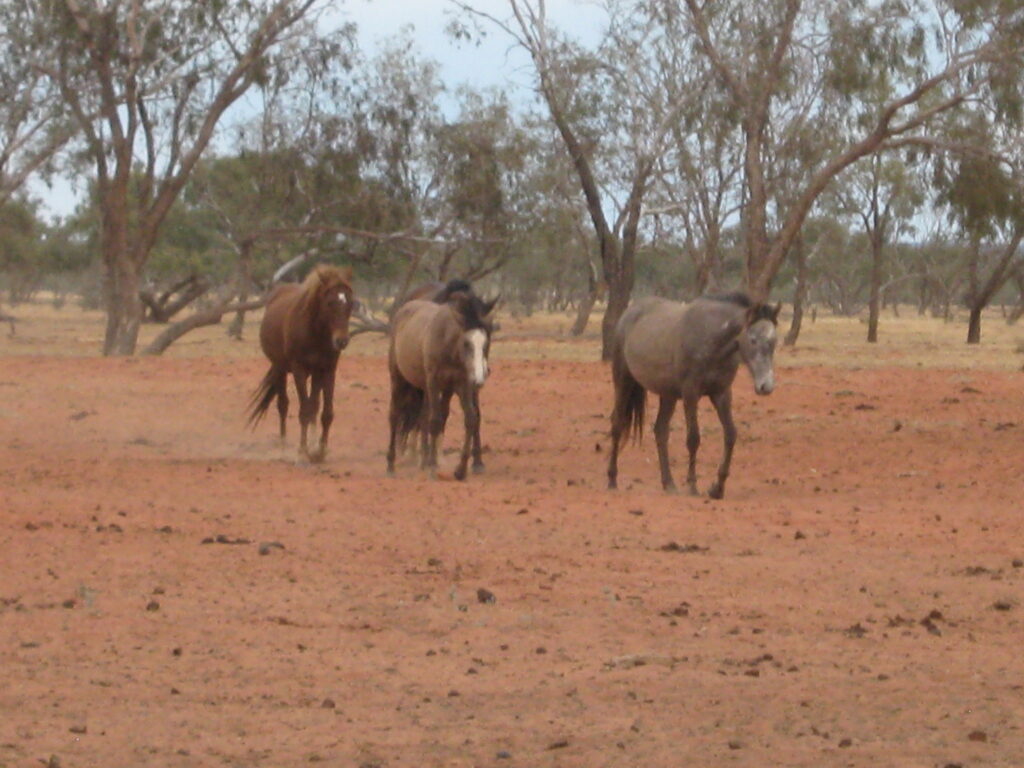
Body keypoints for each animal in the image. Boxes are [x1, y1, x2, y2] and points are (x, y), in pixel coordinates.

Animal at [248, 264, 355, 463]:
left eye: (351, 303)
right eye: (330, 302)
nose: (341, 341)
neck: (315, 333)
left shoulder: (328, 369)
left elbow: (325, 412)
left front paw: (320, 450)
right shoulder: (299, 370)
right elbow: (304, 410)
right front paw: (303, 449)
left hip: (315, 374)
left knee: (314, 405)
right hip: (280, 369)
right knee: (283, 405)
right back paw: (283, 446)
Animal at [386, 284, 498, 480]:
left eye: (485, 342)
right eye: (466, 343)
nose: (480, 376)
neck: (448, 346)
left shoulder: (462, 385)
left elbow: (471, 418)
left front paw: (461, 469)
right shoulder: (434, 383)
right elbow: (435, 420)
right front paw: (432, 466)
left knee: (421, 416)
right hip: (398, 379)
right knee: (395, 414)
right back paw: (392, 464)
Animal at [607, 292, 781, 499]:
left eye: (774, 342)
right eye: (753, 339)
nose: (766, 386)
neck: (710, 337)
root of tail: (629, 312)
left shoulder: (721, 394)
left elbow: (730, 434)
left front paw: (717, 488)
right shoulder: (691, 394)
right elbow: (693, 438)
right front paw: (692, 485)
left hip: (668, 395)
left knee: (661, 431)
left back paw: (669, 483)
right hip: (623, 381)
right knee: (617, 424)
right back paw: (612, 479)